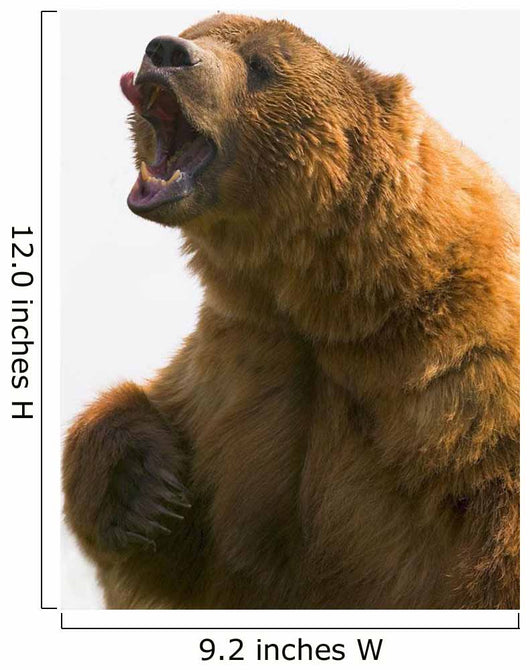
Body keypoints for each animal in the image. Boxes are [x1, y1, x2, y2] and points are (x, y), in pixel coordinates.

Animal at [62, 13, 519, 609]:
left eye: (262, 65)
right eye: (198, 28)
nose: (166, 51)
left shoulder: (461, 384)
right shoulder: (246, 361)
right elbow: (191, 561)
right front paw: (144, 487)